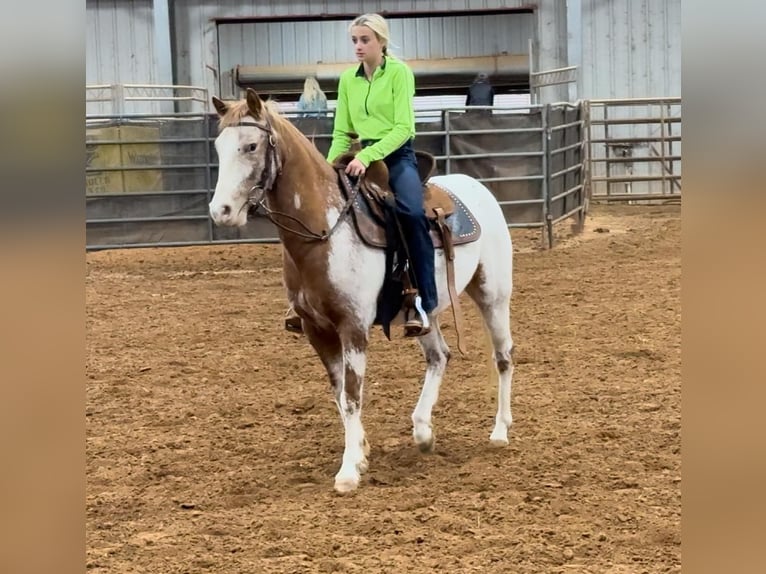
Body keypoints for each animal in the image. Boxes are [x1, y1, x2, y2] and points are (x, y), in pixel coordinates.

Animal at [208, 90, 516, 496]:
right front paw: (361, 451)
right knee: (439, 357)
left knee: (503, 356)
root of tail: (476, 186)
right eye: (218, 147)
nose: (221, 211)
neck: (323, 231)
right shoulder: (316, 331)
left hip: (493, 295)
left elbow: (353, 395)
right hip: (427, 310)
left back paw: (499, 431)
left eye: (251, 146)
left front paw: (349, 470)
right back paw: (423, 432)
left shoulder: (352, 327)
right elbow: (339, 395)